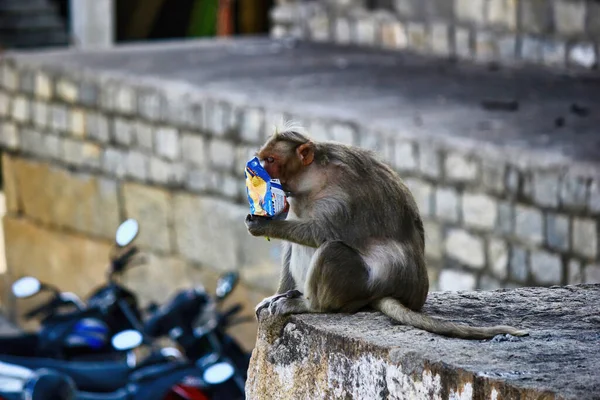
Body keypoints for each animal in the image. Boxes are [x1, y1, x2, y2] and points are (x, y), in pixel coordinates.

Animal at [244, 123, 528, 340]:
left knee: (331, 250)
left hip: (356, 287)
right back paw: (293, 294)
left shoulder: (342, 197)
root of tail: (383, 291)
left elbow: (321, 233)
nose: (257, 171)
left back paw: (309, 305)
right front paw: (275, 293)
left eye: (271, 160)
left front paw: (264, 225)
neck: (311, 179)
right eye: (263, 157)